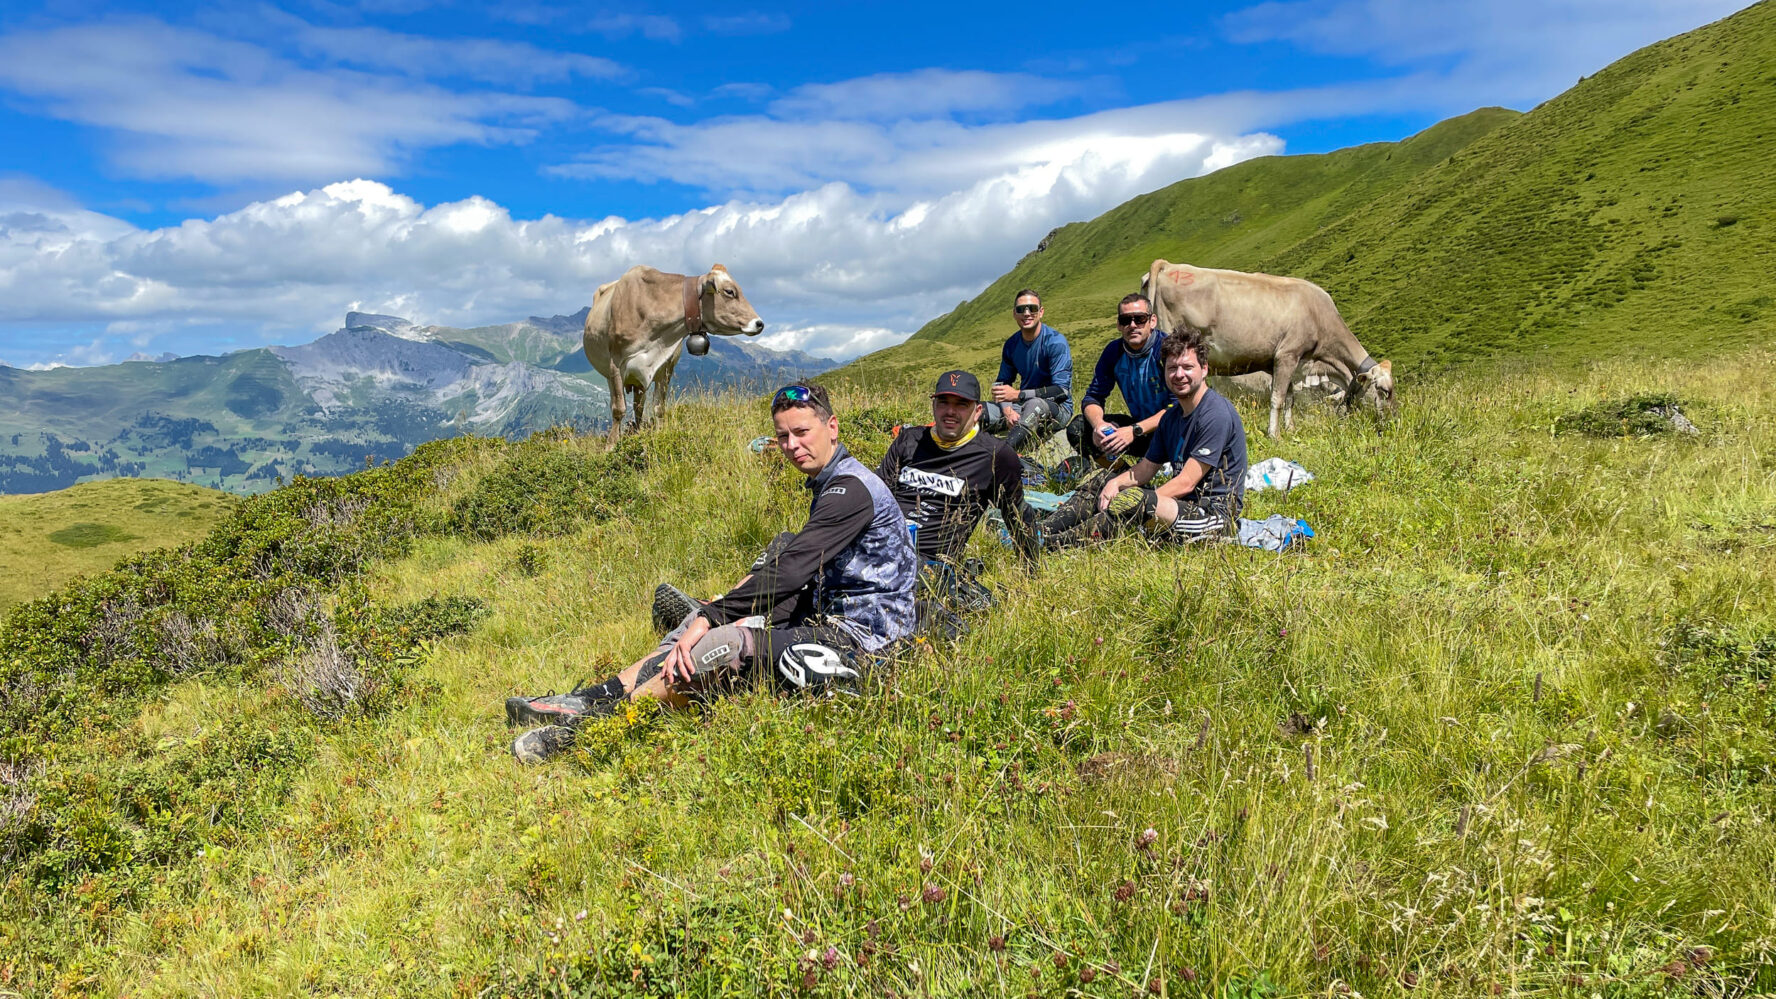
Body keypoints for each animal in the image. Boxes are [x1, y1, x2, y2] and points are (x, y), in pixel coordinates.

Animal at [583, 264, 765, 434]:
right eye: (729, 291)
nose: (759, 323)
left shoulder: (666, 367)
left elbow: (659, 408)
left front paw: (659, 434)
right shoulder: (616, 364)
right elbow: (618, 409)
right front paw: (612, 444)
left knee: (638, 406)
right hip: (611, 375)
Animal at [1141, 259, 1394, 437]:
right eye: (1384, 390)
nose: (1393, 422)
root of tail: (1168, 266)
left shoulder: (1288, 362)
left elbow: (1290, 398)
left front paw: (1290, 429)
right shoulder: (1287, 355)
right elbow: (1278, 398)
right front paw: (1274, 434)